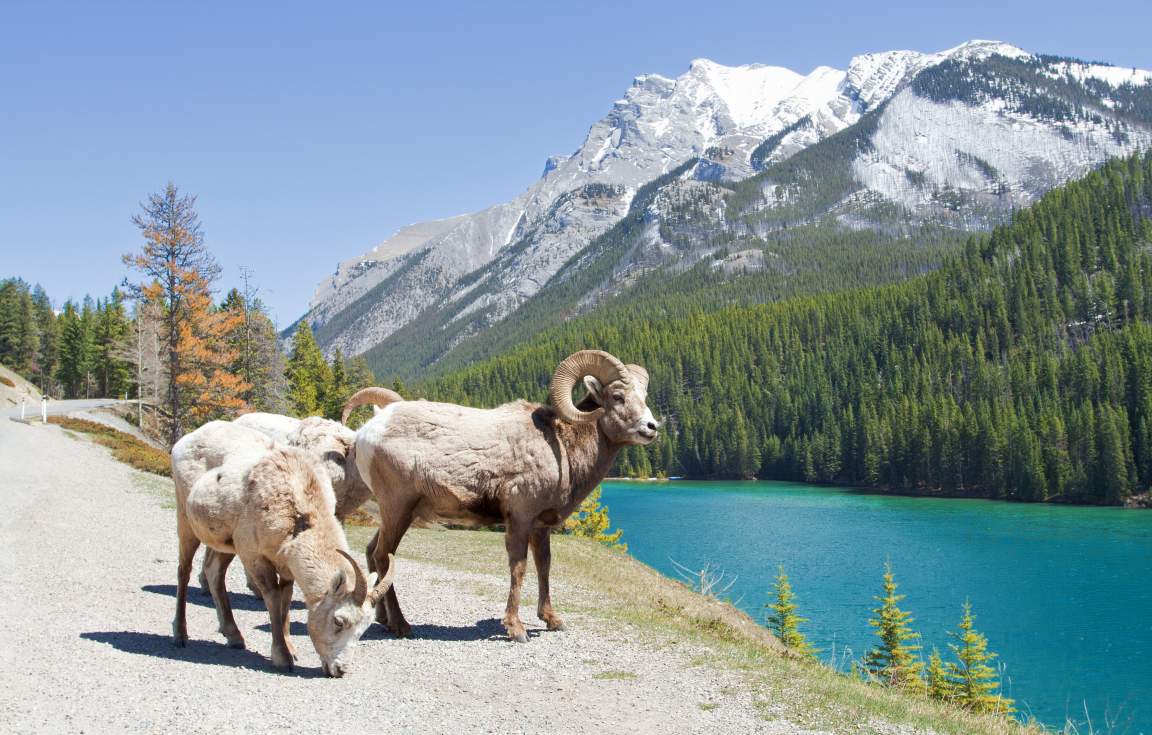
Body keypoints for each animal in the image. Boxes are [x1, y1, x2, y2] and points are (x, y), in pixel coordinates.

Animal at [343, 350, 658, 645]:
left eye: (642, 396)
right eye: (617, 396)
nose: (651, 428)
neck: (560, 447)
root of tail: (367, 432)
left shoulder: (540, 527)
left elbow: (544, 567)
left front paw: (552, 620)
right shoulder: (519, 519)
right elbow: (519, 568)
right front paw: (516, 630)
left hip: (397, 515)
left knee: (373, 552)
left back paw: (382, 619)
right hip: (398, 509)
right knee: (384, 556)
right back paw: (401, 626)